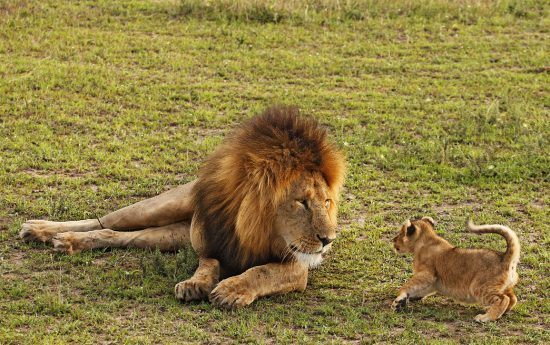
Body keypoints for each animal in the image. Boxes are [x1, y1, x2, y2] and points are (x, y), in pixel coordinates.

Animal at [22, 106, 350, 308]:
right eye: (301, 202)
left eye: (327, 202)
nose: (328, 240)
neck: (257, 227)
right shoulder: (210, 244)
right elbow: (209, 263)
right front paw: (196, 284)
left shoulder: (297, 266)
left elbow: (262, 272)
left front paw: (231, 290)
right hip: (162, 206)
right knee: (105, 221)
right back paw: (44, 231)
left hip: (169, 236)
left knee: (115, 235)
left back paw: (65, 241)